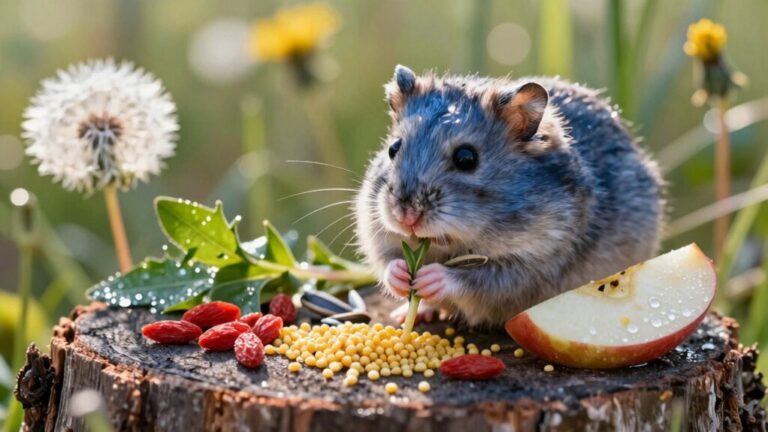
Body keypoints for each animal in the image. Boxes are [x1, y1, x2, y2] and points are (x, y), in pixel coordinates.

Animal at [355, 65, 664, 327]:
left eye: (466, 158)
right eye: (393, 148)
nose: (405, 216)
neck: (449, 243)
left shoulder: (533, 266)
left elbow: (474, 279)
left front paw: (431, 277)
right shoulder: (378, 236)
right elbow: (387, 262)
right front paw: (400, 274)